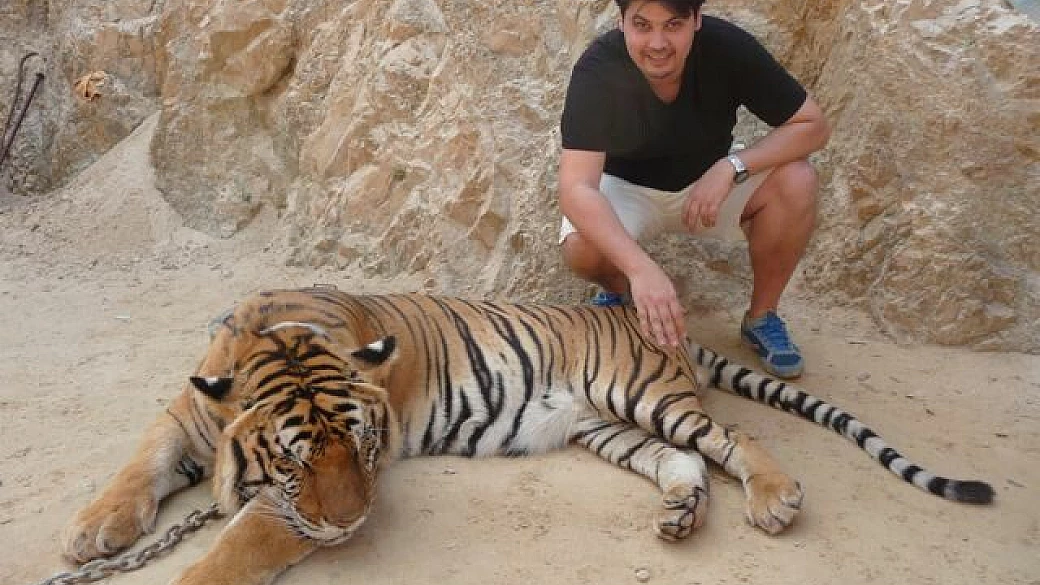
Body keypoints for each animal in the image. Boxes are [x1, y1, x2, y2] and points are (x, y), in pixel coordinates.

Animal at [62, 287, 993, 585]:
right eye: (294, 454)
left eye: (360, 447)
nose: (352, 523)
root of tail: (650, 321)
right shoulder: (186, 415)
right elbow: (138, 464)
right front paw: (92, 531)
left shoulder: (298, 508)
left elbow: (238, 542)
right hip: (606, 428)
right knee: (682, 460)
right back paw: (682, 516)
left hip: (638, 392)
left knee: (729, 438)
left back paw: (774, 497)